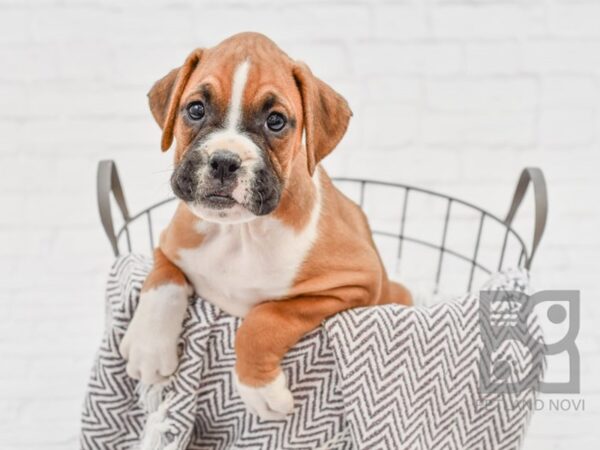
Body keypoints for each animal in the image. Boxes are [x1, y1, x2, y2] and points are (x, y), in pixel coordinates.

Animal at [119, 33, 410, 420]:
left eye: (276, 121)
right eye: (195, 110)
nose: (224, 161)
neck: (239, 231)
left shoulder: (357, 281)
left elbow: (266, 317)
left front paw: (259, 390)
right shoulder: (170, 243)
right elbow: (163, 279)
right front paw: (148, 348)